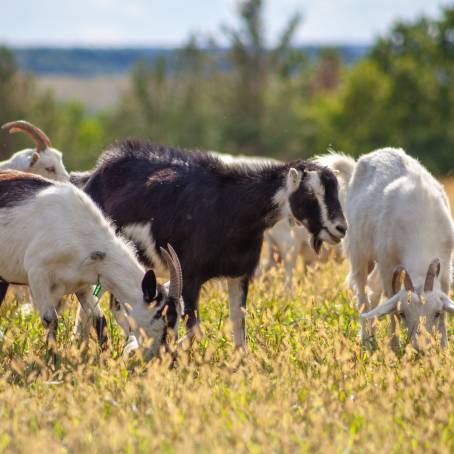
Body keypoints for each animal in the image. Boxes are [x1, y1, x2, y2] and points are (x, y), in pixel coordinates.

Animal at [0, 169, 183, 354]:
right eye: (163, 317)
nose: (168, 356)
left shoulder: (82, 284)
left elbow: (99, 319)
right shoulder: (38, 275)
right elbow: (51, 321)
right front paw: (52, 360)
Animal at [74, 140, 346, 346]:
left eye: (336, 191)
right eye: (310, 193)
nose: (340, 228)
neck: (231, 206)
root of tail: (92, 176)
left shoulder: (239, 275)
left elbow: (239, 328)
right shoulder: (189, 277)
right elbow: (194, 330)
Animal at [318, 149, 454, 352]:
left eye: (436, 313)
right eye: (403, 313)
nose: (422, 348)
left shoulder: (445, 265)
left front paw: (444, 346)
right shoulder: (388, 264)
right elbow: (391, 302)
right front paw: (394, 346)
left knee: (373, 293)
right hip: (358, 252)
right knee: (362, 295)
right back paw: (366, 338)